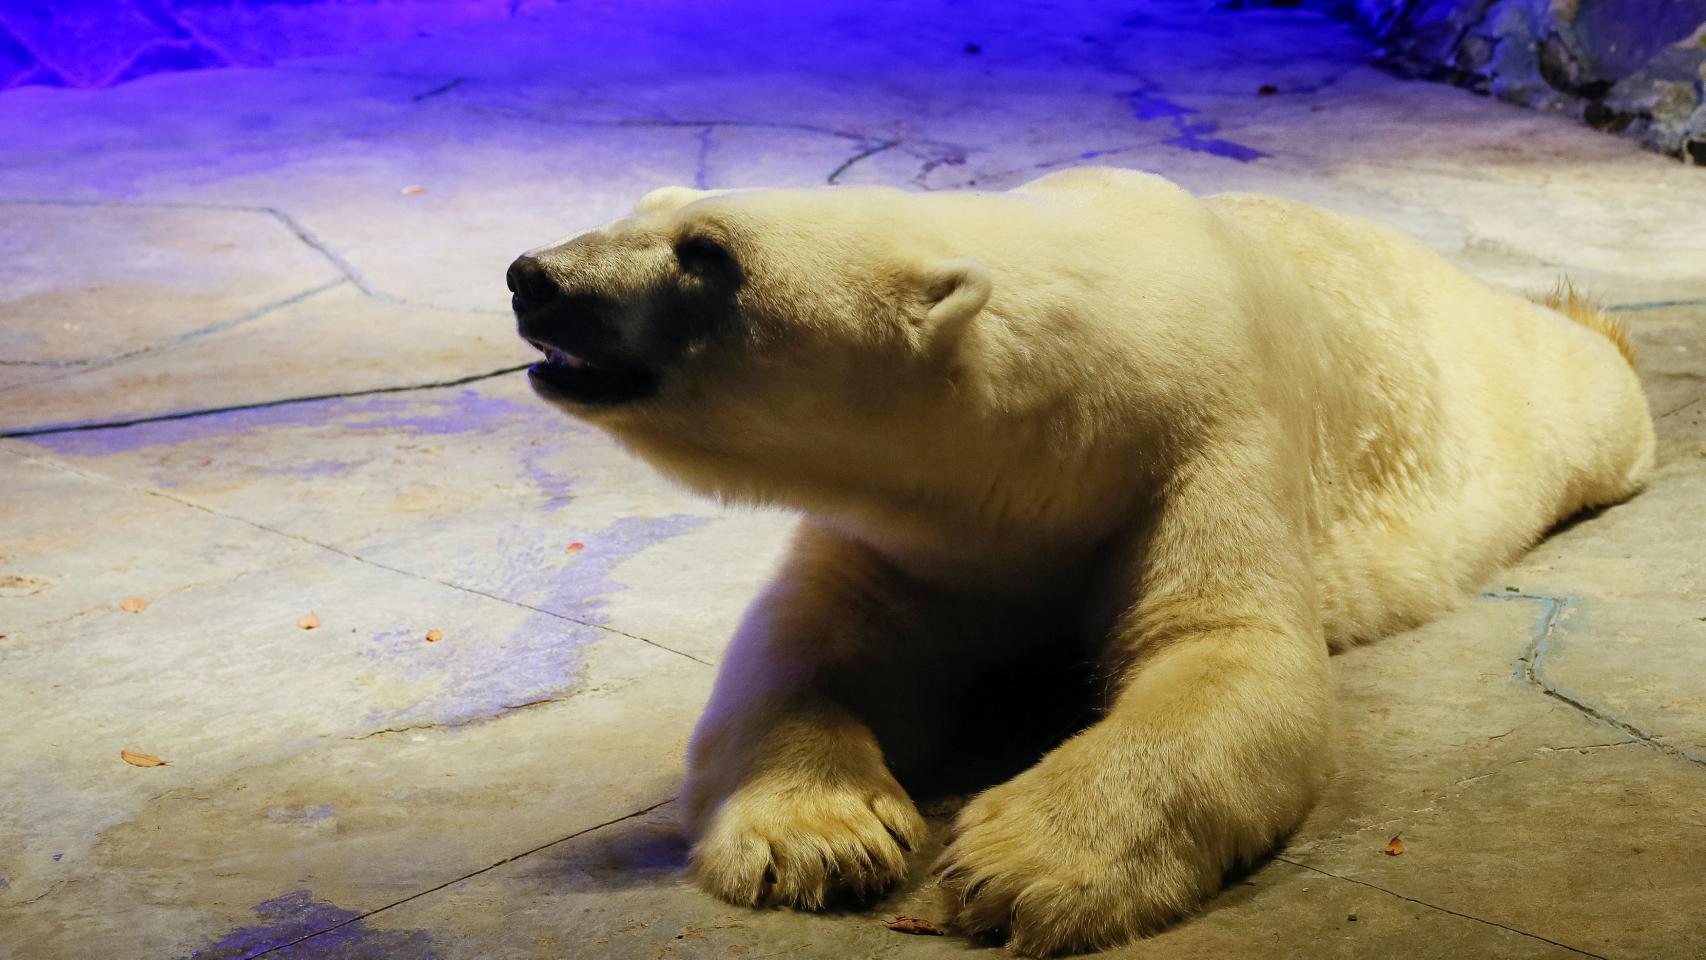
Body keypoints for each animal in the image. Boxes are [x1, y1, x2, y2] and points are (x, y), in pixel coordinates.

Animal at [505, 167, 1654, 956]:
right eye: (643, 206)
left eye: (706, 252)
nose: (533, 277)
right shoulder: (917, 530)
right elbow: (804, 649)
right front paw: (819, 839)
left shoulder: (1208, 436)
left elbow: (1226, 649)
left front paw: (1017, 865)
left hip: (1511, 396)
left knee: (1586, 396)